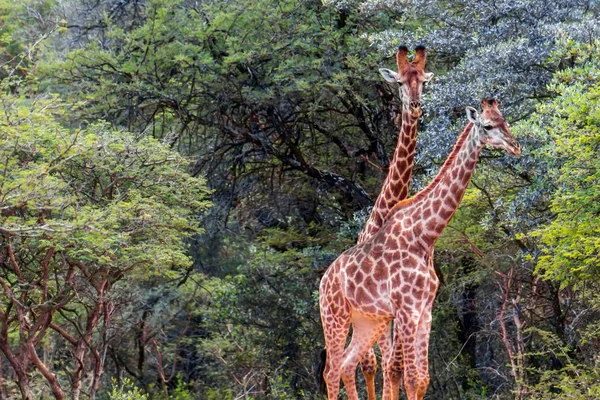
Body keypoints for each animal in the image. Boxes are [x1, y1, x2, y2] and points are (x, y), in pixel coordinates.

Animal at [318, 97, 520, 400]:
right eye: (487, 125)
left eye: (504, 120)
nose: (515, 146)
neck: (425, 237)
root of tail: (323, 281)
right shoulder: (406, 310)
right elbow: (410, 377)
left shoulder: (425, 311)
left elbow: (422, 379)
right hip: (335, 317)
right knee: (331, 370)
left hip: (367, 321)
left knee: (347, 364)